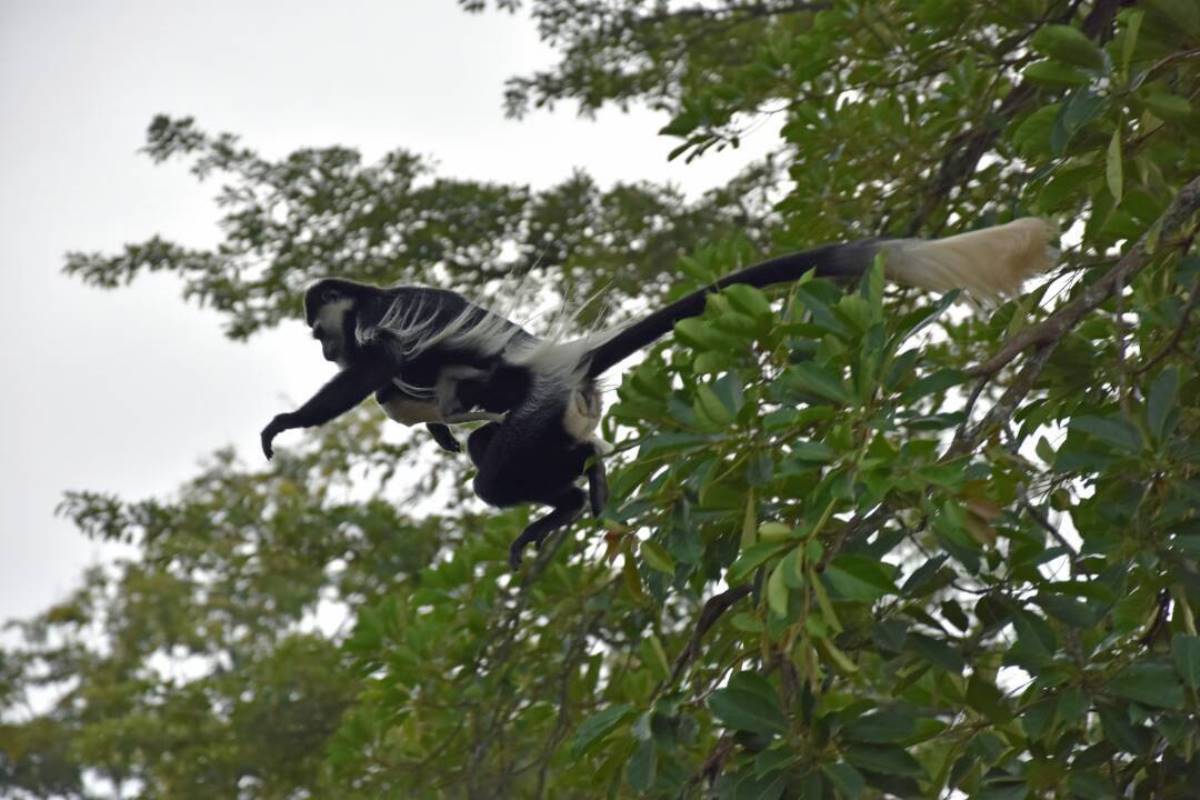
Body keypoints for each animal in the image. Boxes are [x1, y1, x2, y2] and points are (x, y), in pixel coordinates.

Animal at [265, 219, 1060, 568]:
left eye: (320, 332)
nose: (321, 346)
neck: (364, 302)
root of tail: (568, 362)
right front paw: (435, 426)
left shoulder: (374, 328)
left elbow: (372, 376)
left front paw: (286, 424)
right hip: (550, 415)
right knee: (506, 447)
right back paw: (576, 494)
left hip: (537, 411)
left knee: (498, 472)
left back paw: (578, 494)